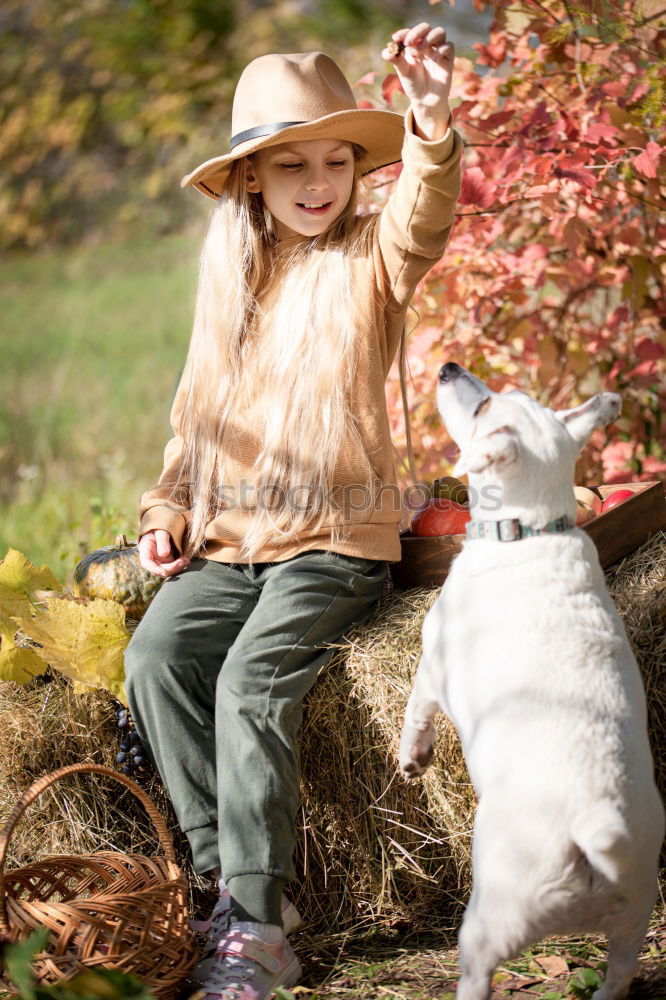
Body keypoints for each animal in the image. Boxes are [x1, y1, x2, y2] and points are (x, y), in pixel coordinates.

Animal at [396, 364, 660, 1000]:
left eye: (483, 407)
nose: (448, 368)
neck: (533, 529)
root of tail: (595, 830)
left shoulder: (434, 665)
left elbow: (416, 710)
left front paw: (412, 759)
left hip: (488, 924)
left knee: (477, 975)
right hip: (633, 923)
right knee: (618, 975)